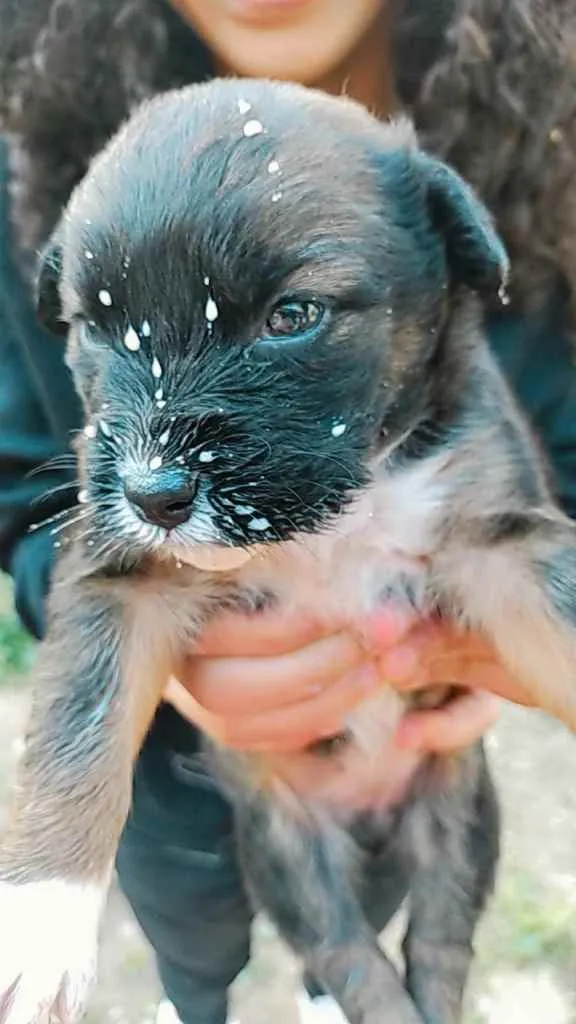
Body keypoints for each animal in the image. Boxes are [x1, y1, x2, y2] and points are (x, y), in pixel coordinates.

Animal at [1, 79, 573, 1024]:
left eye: (293, 316)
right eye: (95, 327)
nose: (153, 495)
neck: (338, 511)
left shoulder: (498, 543)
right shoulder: (121, 575)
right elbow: (80, 730)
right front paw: (43, 924)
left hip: (460, 817)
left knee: (436, 946)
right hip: (284, 852)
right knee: (345, 954)